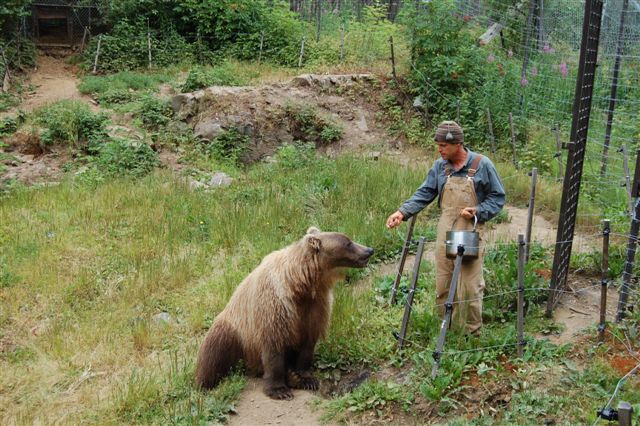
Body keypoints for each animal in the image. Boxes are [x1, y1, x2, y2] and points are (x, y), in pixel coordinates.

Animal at [195, 227, 374, 400]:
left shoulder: (316, 307)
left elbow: (307, 344)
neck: (300, 286)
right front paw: (280, 390)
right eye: (348, 243)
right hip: (236, 331)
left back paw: (292, 376)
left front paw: (306, 379)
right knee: (215, 349)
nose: (369, 250)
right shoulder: (275, 307)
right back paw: (204, 383)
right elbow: (274, 348)